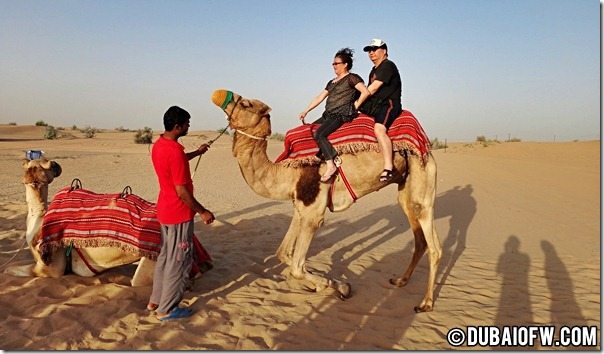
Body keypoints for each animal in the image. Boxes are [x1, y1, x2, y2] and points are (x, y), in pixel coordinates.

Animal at [212, 89, 444, 312]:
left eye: (246, 104)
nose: (218, 94)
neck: (287, 173)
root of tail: (426, 144)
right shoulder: (301, 206)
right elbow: (283, 254)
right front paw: (329, 283)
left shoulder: (314, 213)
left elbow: (296, 267)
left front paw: (335, 285)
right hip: (405, 188)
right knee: (419, 239)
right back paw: (400, 280)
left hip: (422, 178)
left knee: (434, 246)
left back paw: (426, 303)